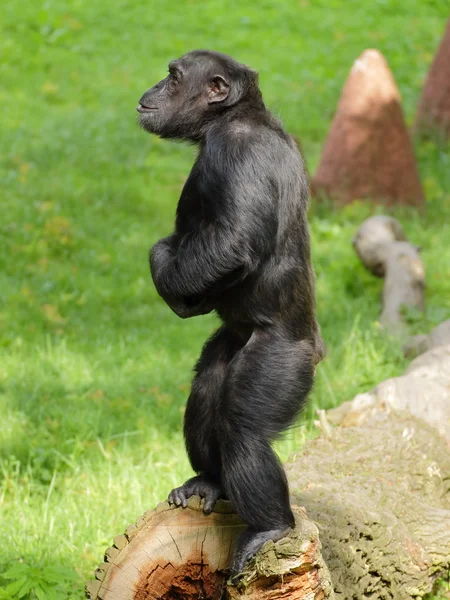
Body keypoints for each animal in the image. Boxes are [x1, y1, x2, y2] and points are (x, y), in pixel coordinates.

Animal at [137, 50, 324, 576]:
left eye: (174, 78)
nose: (152, 89)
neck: (230, 118)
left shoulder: (236, 154)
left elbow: (229, 243)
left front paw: (162, 263)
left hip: (283, 361)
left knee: (244, 431)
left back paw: (270, 526)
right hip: (230, 342)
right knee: (207, 389)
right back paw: (209, 481)